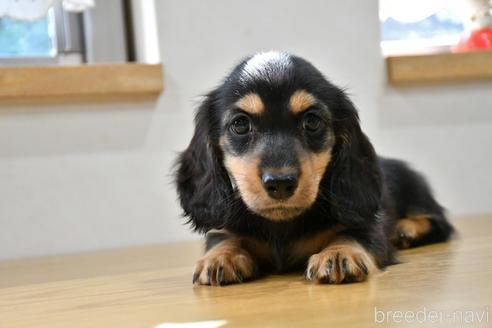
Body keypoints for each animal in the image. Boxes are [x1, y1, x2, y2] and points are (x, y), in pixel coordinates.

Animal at [175, 51, 456, 284]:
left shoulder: (368, 227)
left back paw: (406, 229)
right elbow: (223, 239)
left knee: (440, 222)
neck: (282, 225)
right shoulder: (225, 228)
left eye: (312, 121)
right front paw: (220, 258)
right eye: (240, 124)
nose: (280, 184)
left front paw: (339, 255)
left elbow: (351, 235)